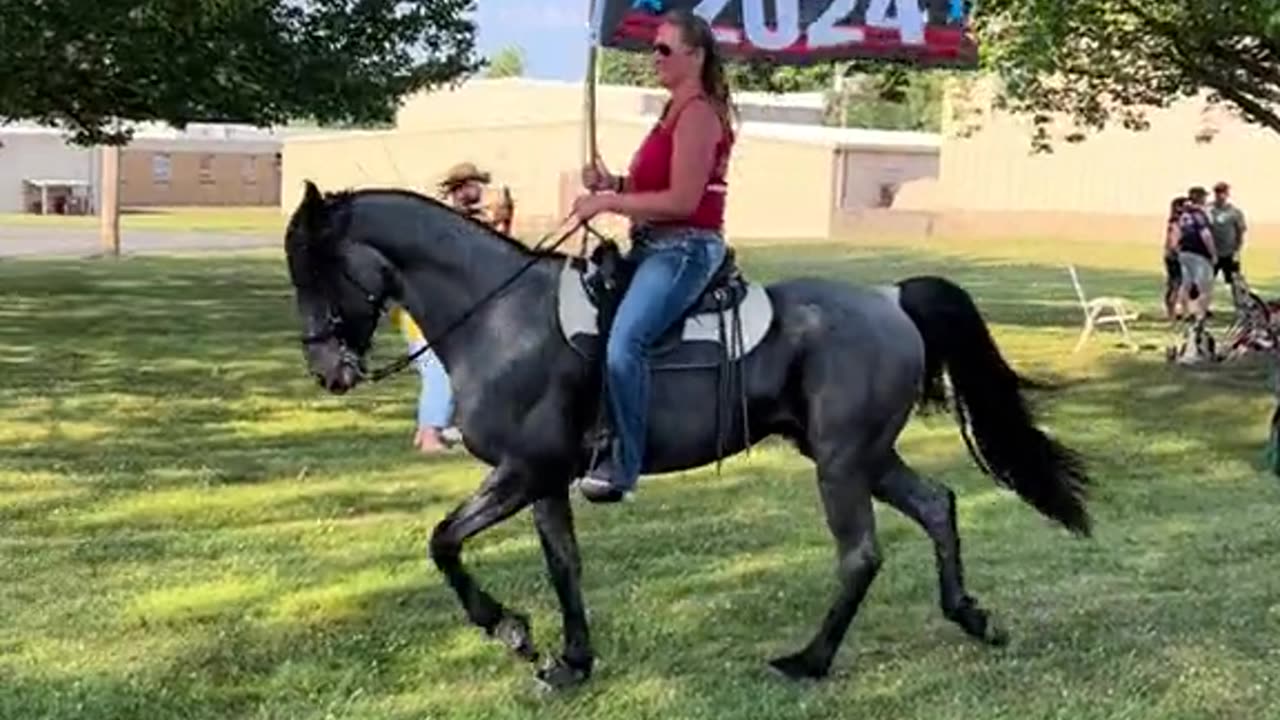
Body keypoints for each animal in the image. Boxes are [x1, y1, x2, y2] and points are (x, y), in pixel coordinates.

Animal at [282, 180, 1090, 691]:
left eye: (316, 268)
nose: (328, 370)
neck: (498, 318)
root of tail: (889, 300)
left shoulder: (520, 471)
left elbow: (443, 541)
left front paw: (509, 630)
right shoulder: (544, 480)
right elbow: (563, 565)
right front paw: (571, 661)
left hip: (841, 463)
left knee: (861, 554)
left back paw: (809, 661)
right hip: (865, 456)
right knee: (936, 506)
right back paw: (970, 616)